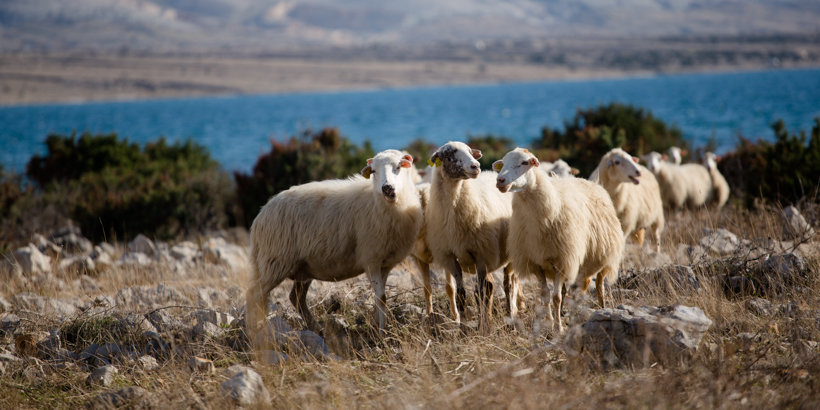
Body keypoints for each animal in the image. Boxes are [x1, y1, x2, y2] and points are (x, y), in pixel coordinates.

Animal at [243, 148, 422, 340]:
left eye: (399, 166)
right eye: (373, 171)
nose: (387, 188)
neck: (379, 203)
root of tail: (260, 216)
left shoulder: (385, 263)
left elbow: (380, 296)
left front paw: (376, 326)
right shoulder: (371, 259)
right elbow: (381, 296)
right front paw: (382, 333)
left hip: (301, 268)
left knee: (295, 298)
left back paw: (316, 329)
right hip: (275, 261)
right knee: (255, 293)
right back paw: (253, 332)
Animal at [426, 142, 524, 326]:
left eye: (471, 153)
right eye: (448, 157)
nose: (476, 166)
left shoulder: (481, 255)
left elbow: (481, 293)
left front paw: (483, 326)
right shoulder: (451, 258)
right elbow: (461, 294)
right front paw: (463, 327)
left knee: (508, 284)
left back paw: (510, 314)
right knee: (493, 284)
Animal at [496, 147, 624, 334]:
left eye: (524, 162)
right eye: (503, 163)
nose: (500, 180)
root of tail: (592, 182)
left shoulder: (562, 261)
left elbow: (556, 297)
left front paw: (558, 328)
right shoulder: (537, 263)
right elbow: (546, 296)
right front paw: (550, 323)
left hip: (604, 255)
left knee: (599, 285)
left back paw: (602, 308)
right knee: (580, 286)